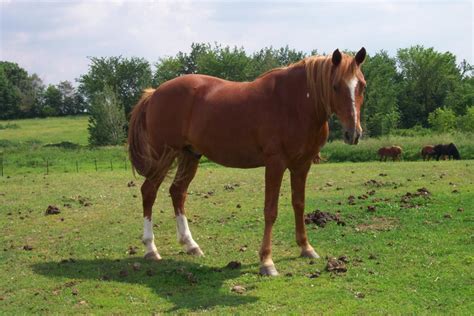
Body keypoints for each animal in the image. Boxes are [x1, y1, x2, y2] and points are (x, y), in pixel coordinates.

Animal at [127, 47, 366, 276]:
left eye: (362, 86)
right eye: (335, 86)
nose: (353, 133)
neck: (295, 103)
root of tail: (155, 93)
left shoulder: (302, 165)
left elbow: (299, 204)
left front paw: (306, 248)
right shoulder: (275, 164)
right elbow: (270, 211)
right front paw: (267, 262)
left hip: (190, 155)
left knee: (178, 192)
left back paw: (190, 245)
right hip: (164, 155)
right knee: (149, 191)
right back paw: (151, 248)